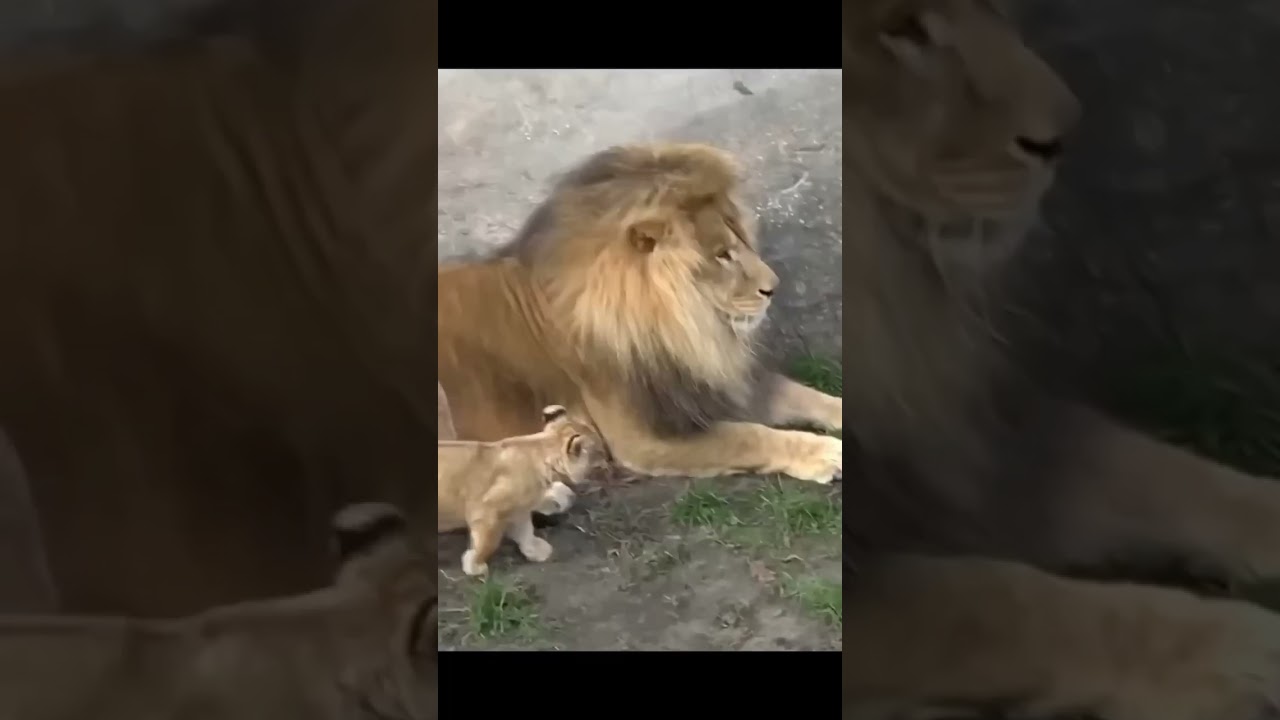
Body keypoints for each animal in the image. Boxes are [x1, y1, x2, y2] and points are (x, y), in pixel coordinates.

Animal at [437, 144, 844, 490]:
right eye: (722, 255)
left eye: (740, 241)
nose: (773, 287)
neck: (683, 331)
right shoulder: (643, 439)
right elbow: (748, 436)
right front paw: (826, 451)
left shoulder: (705, 388)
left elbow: (805, 395)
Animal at [438, 404, 604, 577]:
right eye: (599, 451)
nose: (606, 463)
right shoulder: (487, 510)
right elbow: (488, 543)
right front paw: (475, 565)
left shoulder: (519, 510)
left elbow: (525, 531)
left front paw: (535, 550)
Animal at [839, 1, 1280, 718]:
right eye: (900, 29)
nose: (1066, 134)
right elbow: (998, 604)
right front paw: (1254, 652)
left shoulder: (974, 445)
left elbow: (1161, 471)